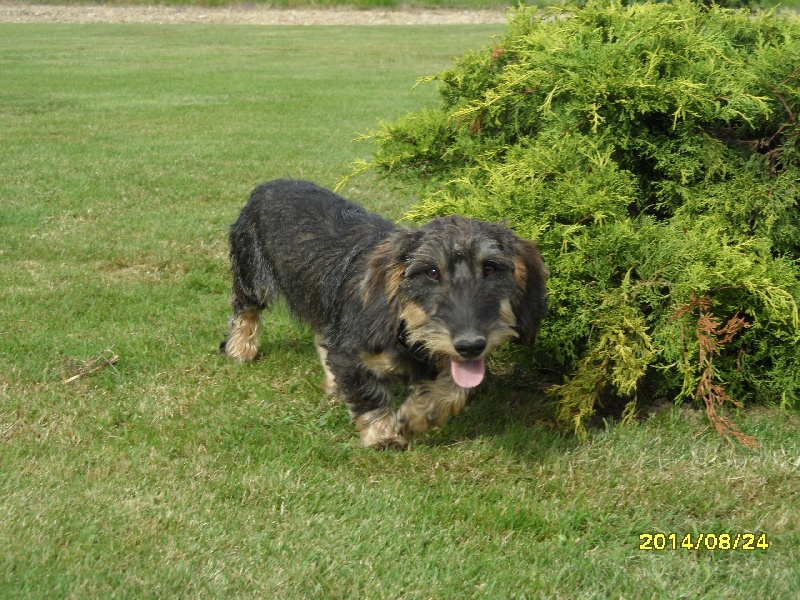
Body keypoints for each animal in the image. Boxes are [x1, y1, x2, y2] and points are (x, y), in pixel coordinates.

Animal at [219, 179, 548, 450]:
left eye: (490, 268)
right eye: (431, 272)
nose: (470, 345)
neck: (404, 329)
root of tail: (268, 185)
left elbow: (459, 390)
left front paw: (416, 416)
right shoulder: (349, 354)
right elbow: (368, 394)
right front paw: (383, 434)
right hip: (251, 275)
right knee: (245, 312)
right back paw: (240, 349)